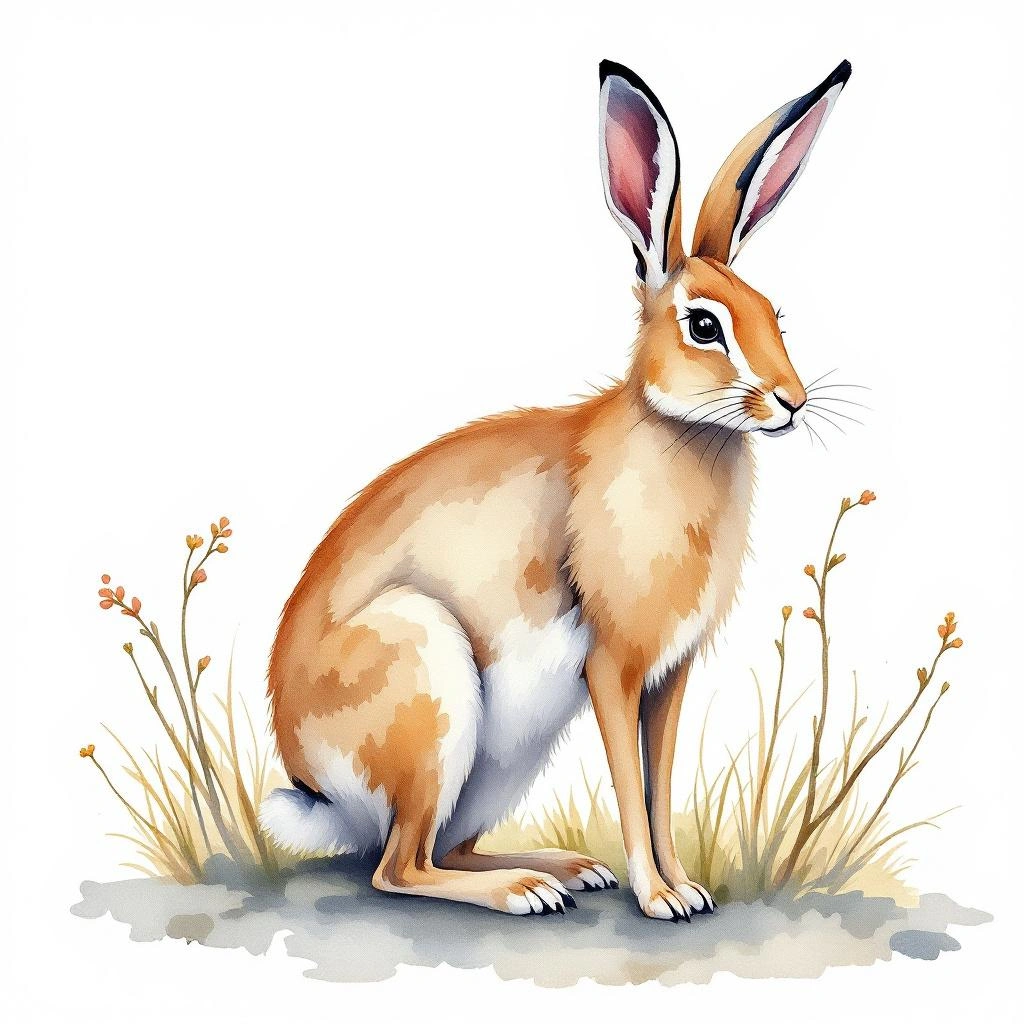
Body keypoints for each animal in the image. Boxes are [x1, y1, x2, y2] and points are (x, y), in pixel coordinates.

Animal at [260, 58, 852, 920]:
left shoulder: (669, 676)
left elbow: (660, 781)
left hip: (500, 760)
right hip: (432, 687)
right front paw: (661, 899)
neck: (677, 432)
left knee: (440, 847)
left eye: (775, 313)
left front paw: (685, 888)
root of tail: (316, 789)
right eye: (705, 326)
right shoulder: (611, 666)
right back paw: (523, 892)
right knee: (398, 867)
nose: (793, 401)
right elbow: (633, 786)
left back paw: (563, 871)